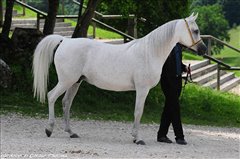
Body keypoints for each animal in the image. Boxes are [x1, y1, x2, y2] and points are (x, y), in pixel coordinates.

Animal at [32, 13, 207, 145]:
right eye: (196, 30)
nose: (204, 50)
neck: (149, 52)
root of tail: (65, 41)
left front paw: (135, 137)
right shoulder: (142, 89)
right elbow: (138, 112)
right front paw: (138, 138)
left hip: (75, 82)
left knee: (66, 103)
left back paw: (71, 132)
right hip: (66, 81)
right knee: (51, 97)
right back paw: (49, 129)